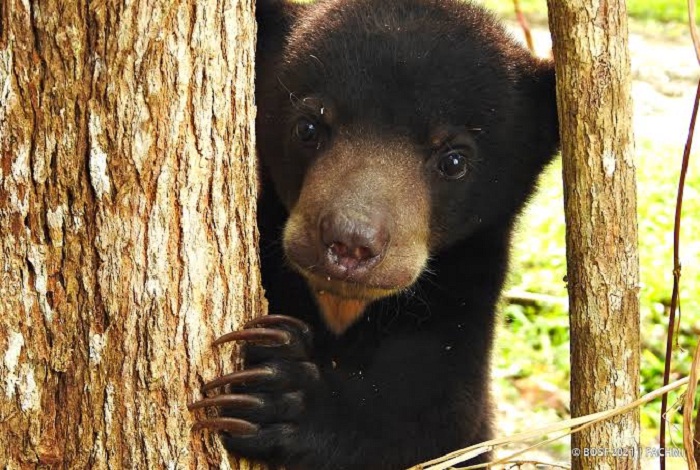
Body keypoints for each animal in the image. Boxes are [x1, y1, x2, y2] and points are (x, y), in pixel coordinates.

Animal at [189, 0, 560, 466]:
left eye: (454, 160)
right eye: (308, 128)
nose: (350, 242)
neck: (343, 307)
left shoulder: (457, 310)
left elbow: (431, 422)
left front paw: (276, 391)